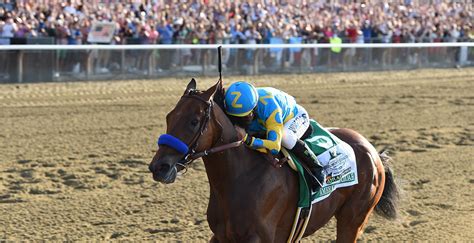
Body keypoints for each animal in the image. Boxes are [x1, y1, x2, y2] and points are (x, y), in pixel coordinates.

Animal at [147, 79, 396, 242]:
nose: (159, 167)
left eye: (194, 121)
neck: (237, 179)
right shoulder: (221, 236)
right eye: (169, 117)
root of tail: (373, 152)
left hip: (353, 219)